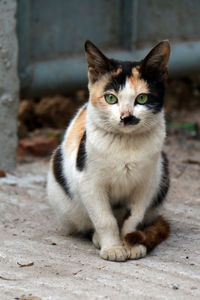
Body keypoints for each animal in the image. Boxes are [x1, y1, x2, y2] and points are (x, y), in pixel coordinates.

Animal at [47, 39, 170, 260]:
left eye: (142, 98)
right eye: (111, 98)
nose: (126, 116)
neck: (125, 145)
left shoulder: (148, 183)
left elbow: (134, 218)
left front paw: (131, 243)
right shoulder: (89, 182)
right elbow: (105, 219)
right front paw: (113, 247)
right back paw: (97, 238)